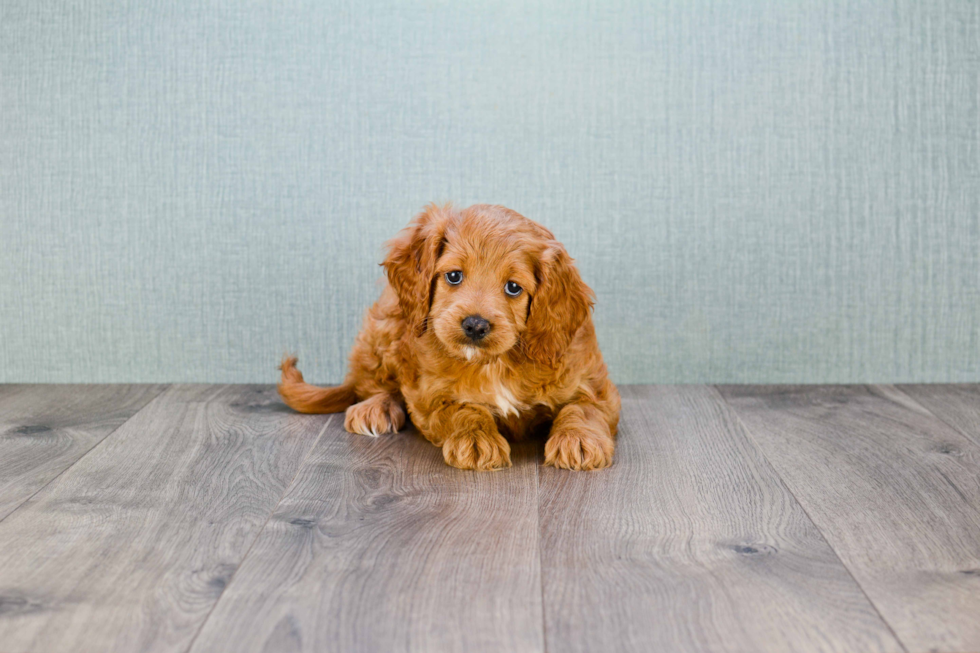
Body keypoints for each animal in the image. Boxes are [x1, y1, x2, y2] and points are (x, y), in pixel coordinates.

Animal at [276, 204, 620, 468]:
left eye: (513, 287)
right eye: (454, 276)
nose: (475, 325)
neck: (494, 363)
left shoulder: (596, 385)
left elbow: (583, 408)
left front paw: (578, 439)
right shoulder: (428, 397)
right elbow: (462, 410)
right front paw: (477, 439)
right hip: (386, 327)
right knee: (370, 384)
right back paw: (375, 408)